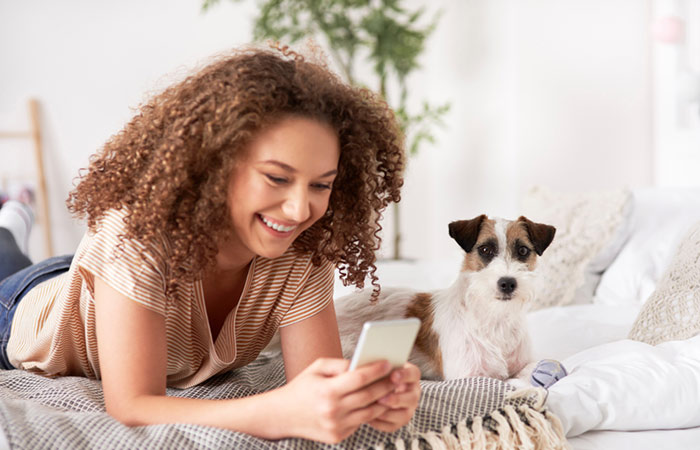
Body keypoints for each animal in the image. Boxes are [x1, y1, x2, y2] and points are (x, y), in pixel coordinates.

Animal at [334, 214, 556, 380]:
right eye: (485, 249)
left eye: (523, 250)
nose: (507, 283)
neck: (495, 318)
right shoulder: (469, 375)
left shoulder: (520, 365)